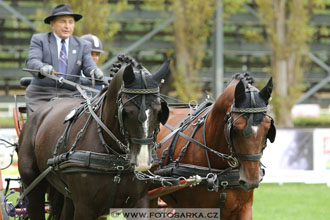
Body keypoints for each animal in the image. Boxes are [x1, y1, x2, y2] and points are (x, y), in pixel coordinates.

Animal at [18, 55, 171, 219]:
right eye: (126, 111)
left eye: (159, 111)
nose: (142, 161)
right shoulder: (85, 207)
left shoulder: (139, 202)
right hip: (33, 186)